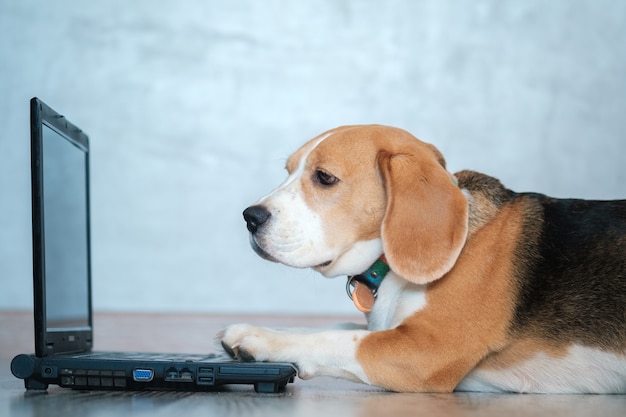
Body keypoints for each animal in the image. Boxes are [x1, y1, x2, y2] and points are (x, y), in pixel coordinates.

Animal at [219, 125, 624, 392]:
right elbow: (330, 327)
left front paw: (259, 338)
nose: (249, 218)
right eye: (289, 171)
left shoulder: (425, 351)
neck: (390, 270)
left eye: (324, 177)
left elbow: (335, 338)